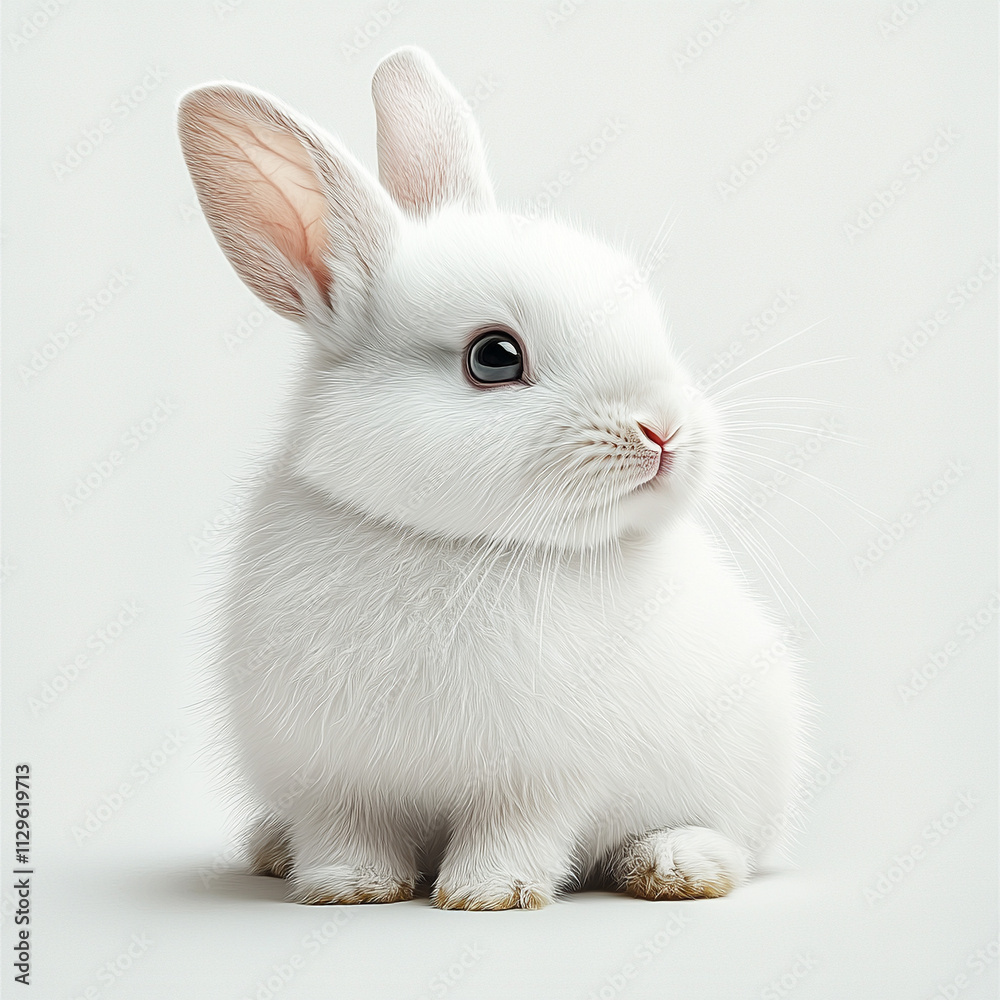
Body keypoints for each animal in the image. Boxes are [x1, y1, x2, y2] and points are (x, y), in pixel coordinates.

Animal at [178, 46, 807, 909]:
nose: (665, 431)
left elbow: (514, 832)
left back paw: (678, 865)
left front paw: (487, 893)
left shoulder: (541, 780)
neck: (453, 543)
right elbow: (349, 832)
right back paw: (272, 849)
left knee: (736, 844)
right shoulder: (334, 778)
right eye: (494, 357)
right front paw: (347, 887)